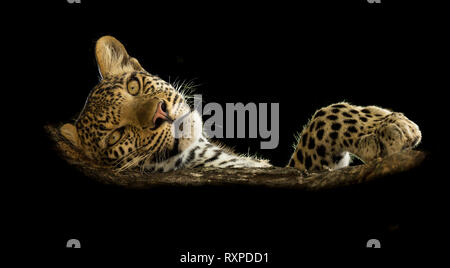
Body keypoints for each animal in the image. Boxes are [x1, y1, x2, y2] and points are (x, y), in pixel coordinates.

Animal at [59, 35, 422, 174]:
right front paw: (389, 129)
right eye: (116, 135)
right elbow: (322, 118)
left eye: (133, 86)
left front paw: (384, 123)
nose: (160, 114)